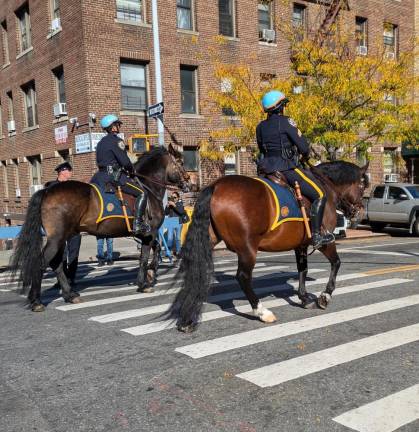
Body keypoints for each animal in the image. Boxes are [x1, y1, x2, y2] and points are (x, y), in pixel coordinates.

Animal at [9, 145, 190, 310]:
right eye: (180, 162)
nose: (188, 181)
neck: (148, 188)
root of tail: (47, 191)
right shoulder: (150, 232)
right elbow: (145, 256)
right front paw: (145, 282)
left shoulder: (144, 234)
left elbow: (155, 249)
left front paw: (149, 276)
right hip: (57, 238)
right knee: (42, 263)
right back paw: (36, 301)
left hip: (61, 237)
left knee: (57, 263)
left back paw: (69, 294)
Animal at [169, 160, 370, 332]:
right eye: (362, 186)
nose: (360, 213)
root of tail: (216, 186)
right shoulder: (324, 242)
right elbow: (336, 263)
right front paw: (324, 297)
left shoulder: (300, 245)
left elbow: (302, 269)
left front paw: (304, 298)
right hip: (247, 249)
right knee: (243, 277)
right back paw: (262, 312)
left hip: (210, 241)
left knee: (196, 271)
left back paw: (186, 320)